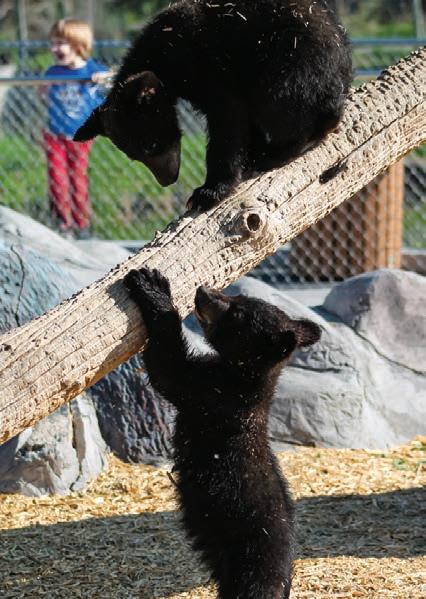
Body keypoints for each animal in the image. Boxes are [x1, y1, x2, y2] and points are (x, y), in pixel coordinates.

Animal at [75, 0, 352, 211]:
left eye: (150, 145)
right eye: (133, 156)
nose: (168, 180)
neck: (166, 53)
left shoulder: (209, 64)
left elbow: (228, 119)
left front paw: (206, 193)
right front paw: (250, 154)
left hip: (290, 62)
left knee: (282, 106)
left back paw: (278, 152)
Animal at [123, 267, 322, 598]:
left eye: (238, 312)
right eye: (238, 295)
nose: (203, 291)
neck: (242, 376)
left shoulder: (210, 396)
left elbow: (168, 369)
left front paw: (151, 284)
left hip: (249, 567)